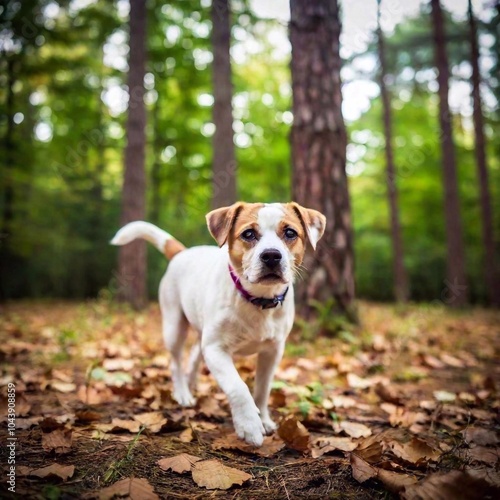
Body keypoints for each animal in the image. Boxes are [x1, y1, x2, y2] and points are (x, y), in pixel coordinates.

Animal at [111, 202, 326, 446]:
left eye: (290, 233)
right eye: (248, 234)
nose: (271, 255)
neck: (257, 300)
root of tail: (182, 252)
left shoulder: (272, 352)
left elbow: (262, 389)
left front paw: (264, 419)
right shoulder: (216, 349)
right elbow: (238, 387)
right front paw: (250, 425)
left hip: (201, 332)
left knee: (194, 356)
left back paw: (191, 385)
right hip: (174, 327)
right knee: (176, 362)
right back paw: (183, 393)